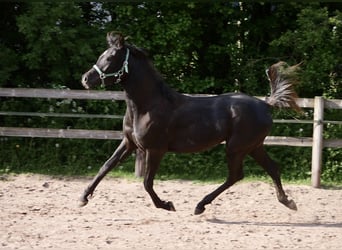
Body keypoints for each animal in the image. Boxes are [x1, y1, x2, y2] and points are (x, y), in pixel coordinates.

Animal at [80, 31, 300, 215]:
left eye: (110, 58)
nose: (85, 79)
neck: (147, 106)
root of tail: (265, 104)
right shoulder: (130, 143)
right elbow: (106, 166)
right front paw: (83, 198)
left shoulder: (155, 149)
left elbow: (147, 183)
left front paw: (167, 205)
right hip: (254, 146)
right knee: (271, 169)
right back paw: (287, 201)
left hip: (237, 148)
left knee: (235, 176)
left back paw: (200, 206)